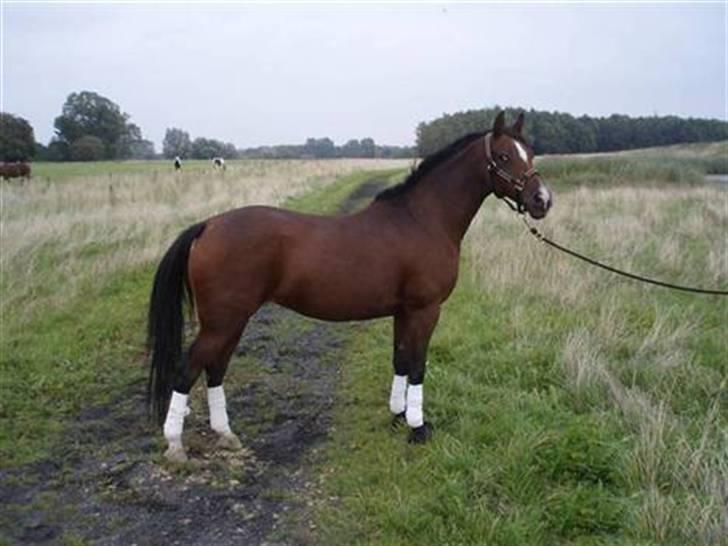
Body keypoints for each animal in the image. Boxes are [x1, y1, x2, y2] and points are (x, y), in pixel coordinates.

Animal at [147, 112, 553, 462]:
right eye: (503, 156)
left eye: (531, 153)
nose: (542, 200)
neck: (422, 220)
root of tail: (208, 225)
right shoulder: (425, 310)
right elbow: (418, 365)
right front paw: (418, 429)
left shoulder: (403, 312)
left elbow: (400, 359)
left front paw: (398, 417)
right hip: (223, 322)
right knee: (187, 371)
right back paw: (175, 445)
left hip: (231, 322)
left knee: (215, 369)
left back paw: (226, 435)